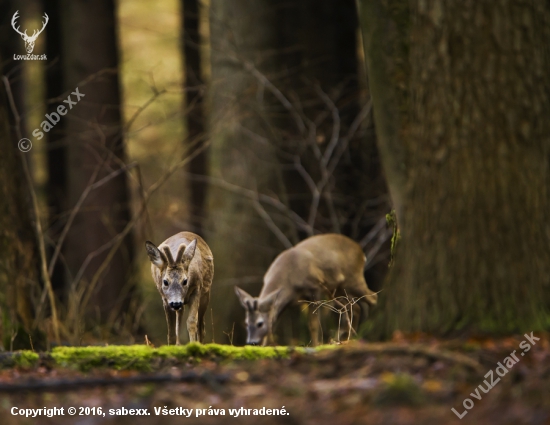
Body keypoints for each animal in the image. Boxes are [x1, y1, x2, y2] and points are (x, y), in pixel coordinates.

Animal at [235, 234, 378, 346]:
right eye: (246, 323)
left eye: (259, 323)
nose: (251, 342)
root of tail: (361, 252)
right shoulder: (286, 302)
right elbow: (272, 326)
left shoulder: (315, 287)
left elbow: (313, 324)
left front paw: (316, 345)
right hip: (338, 288)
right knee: (355, 307)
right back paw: (349, 337)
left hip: (353, 278)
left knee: (373, 298)